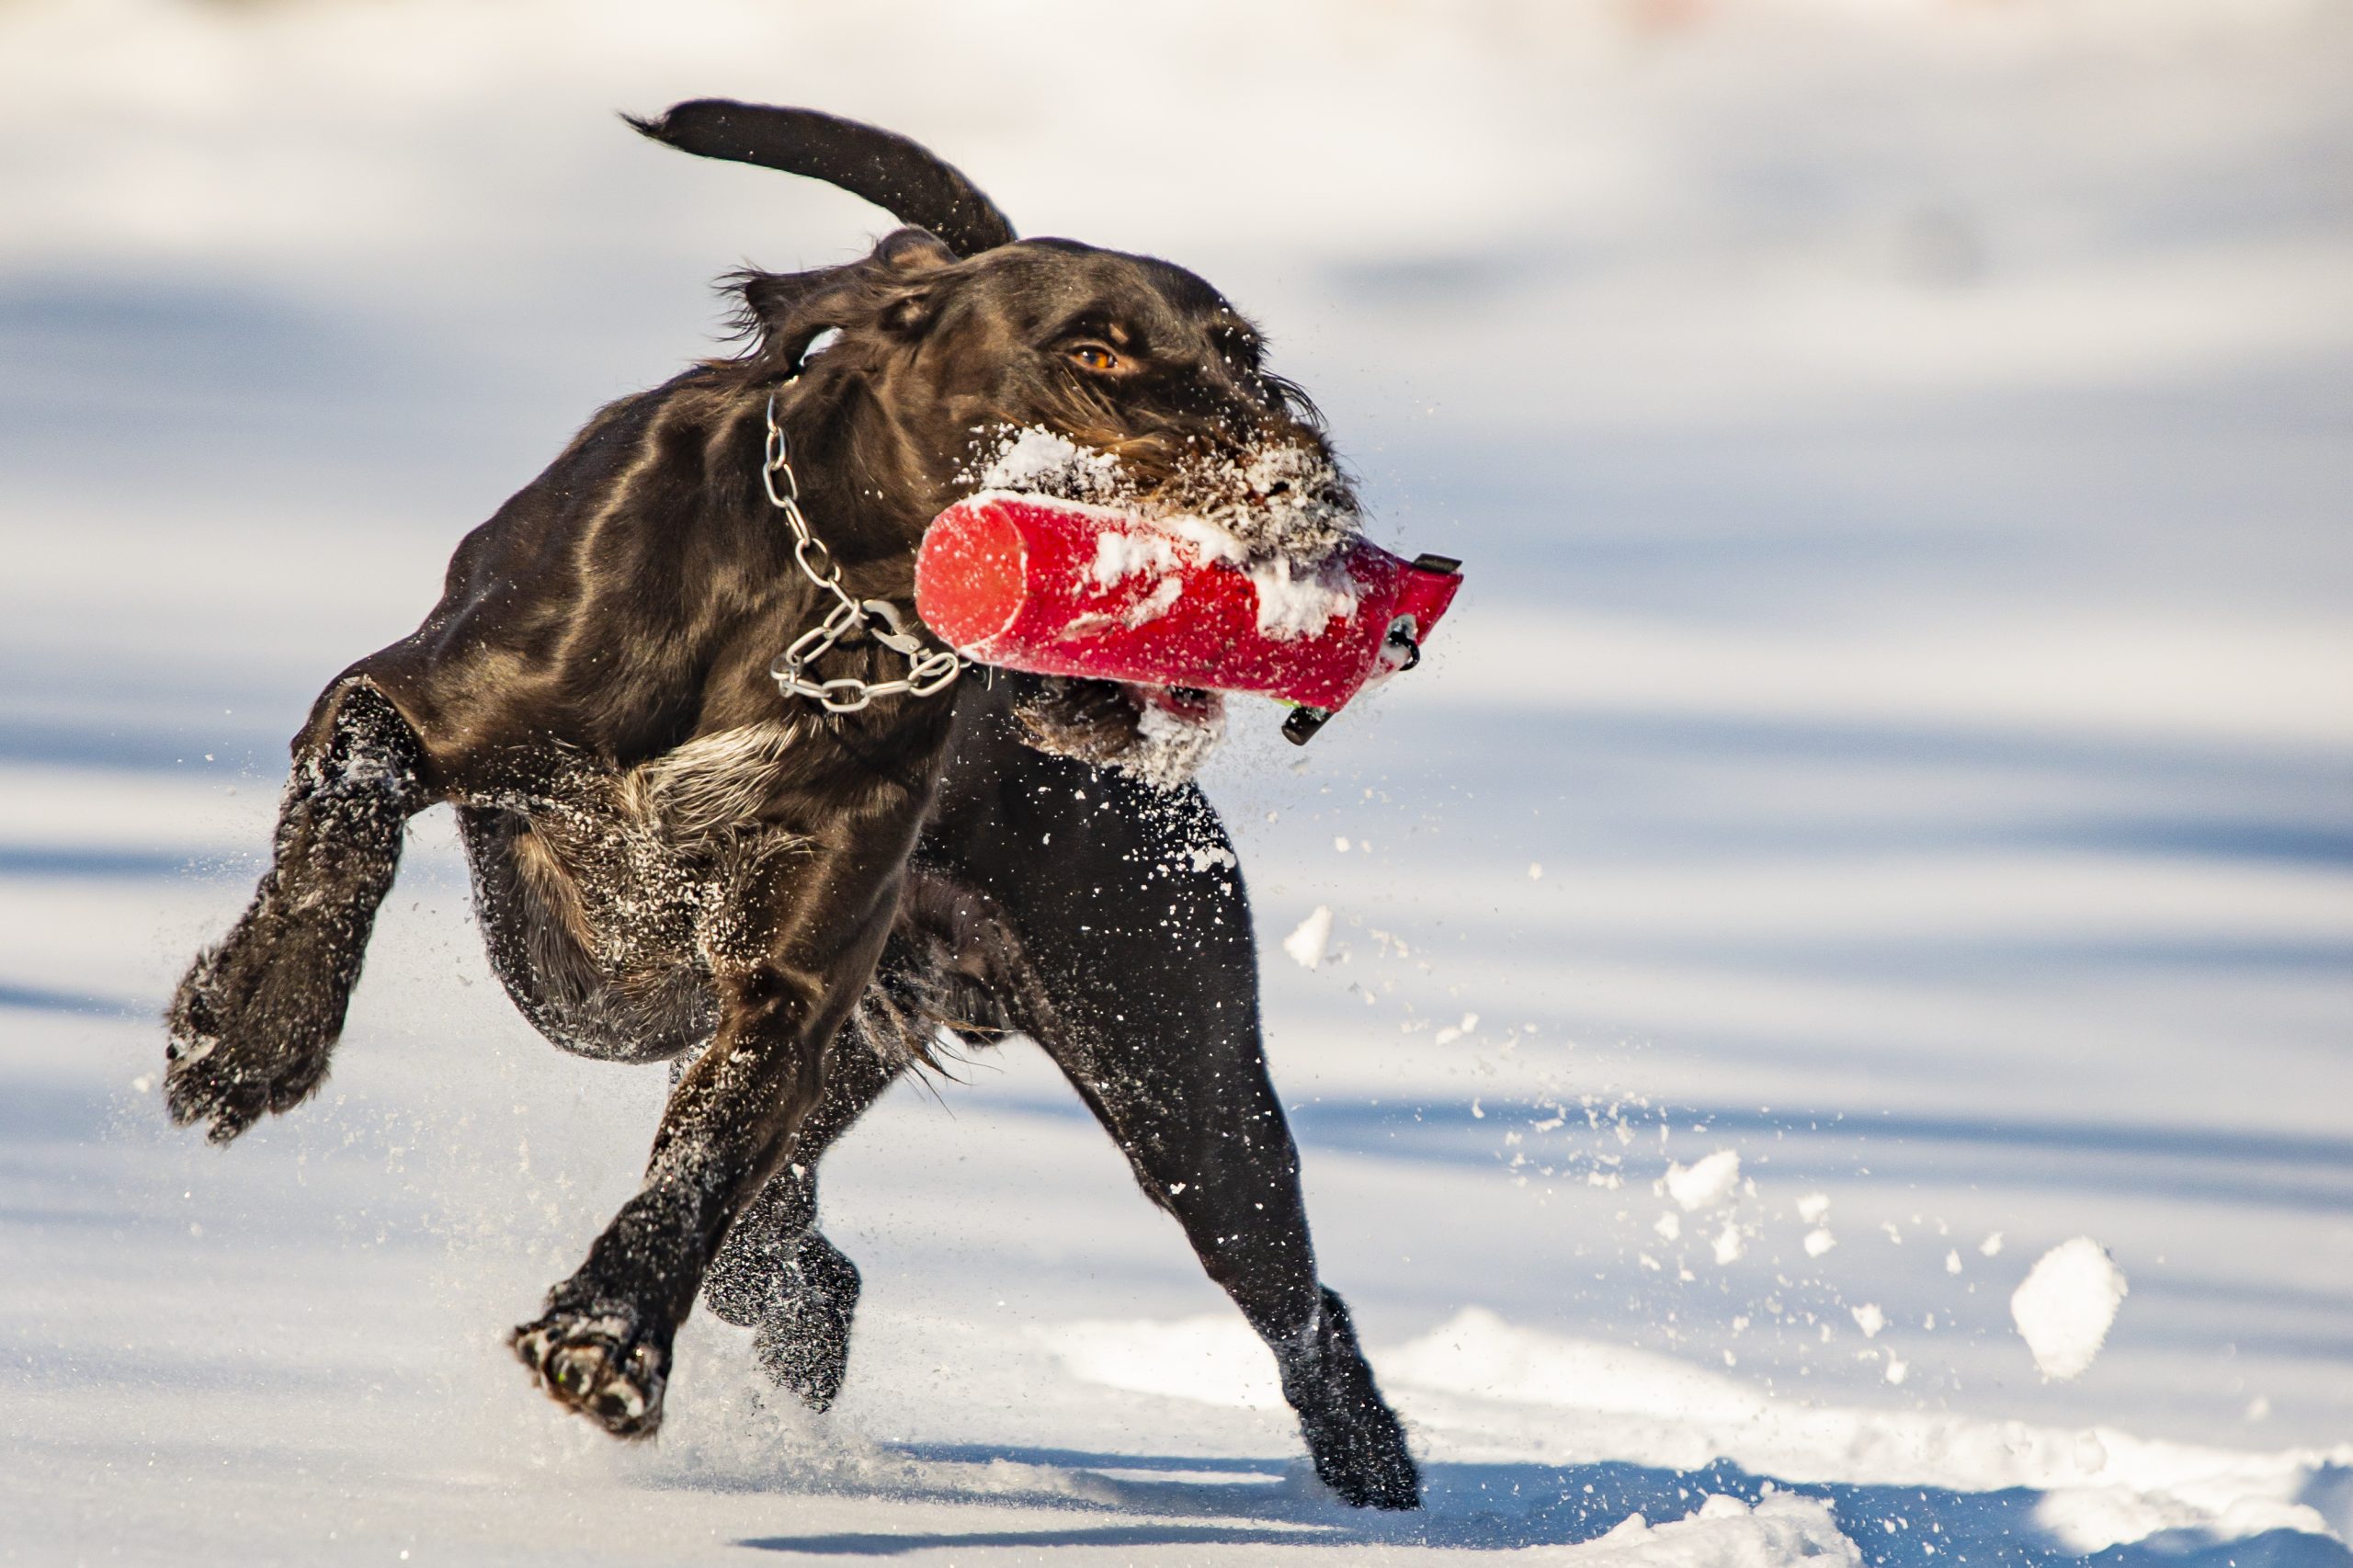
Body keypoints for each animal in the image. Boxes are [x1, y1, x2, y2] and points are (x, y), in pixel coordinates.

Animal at [170, 97, 1412, 1506]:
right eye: (1092, 352)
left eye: (1243, 354)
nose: (1305, 483)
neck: (821, 598)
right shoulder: (401, 703)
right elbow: (355, 799)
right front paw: (252, 1030)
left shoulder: (792, 988)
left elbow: (702, 1165)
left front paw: (607, 1339)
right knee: (801, 1256)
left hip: (1178, 1074)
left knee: (1295, 1303)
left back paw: (1383, 1484)